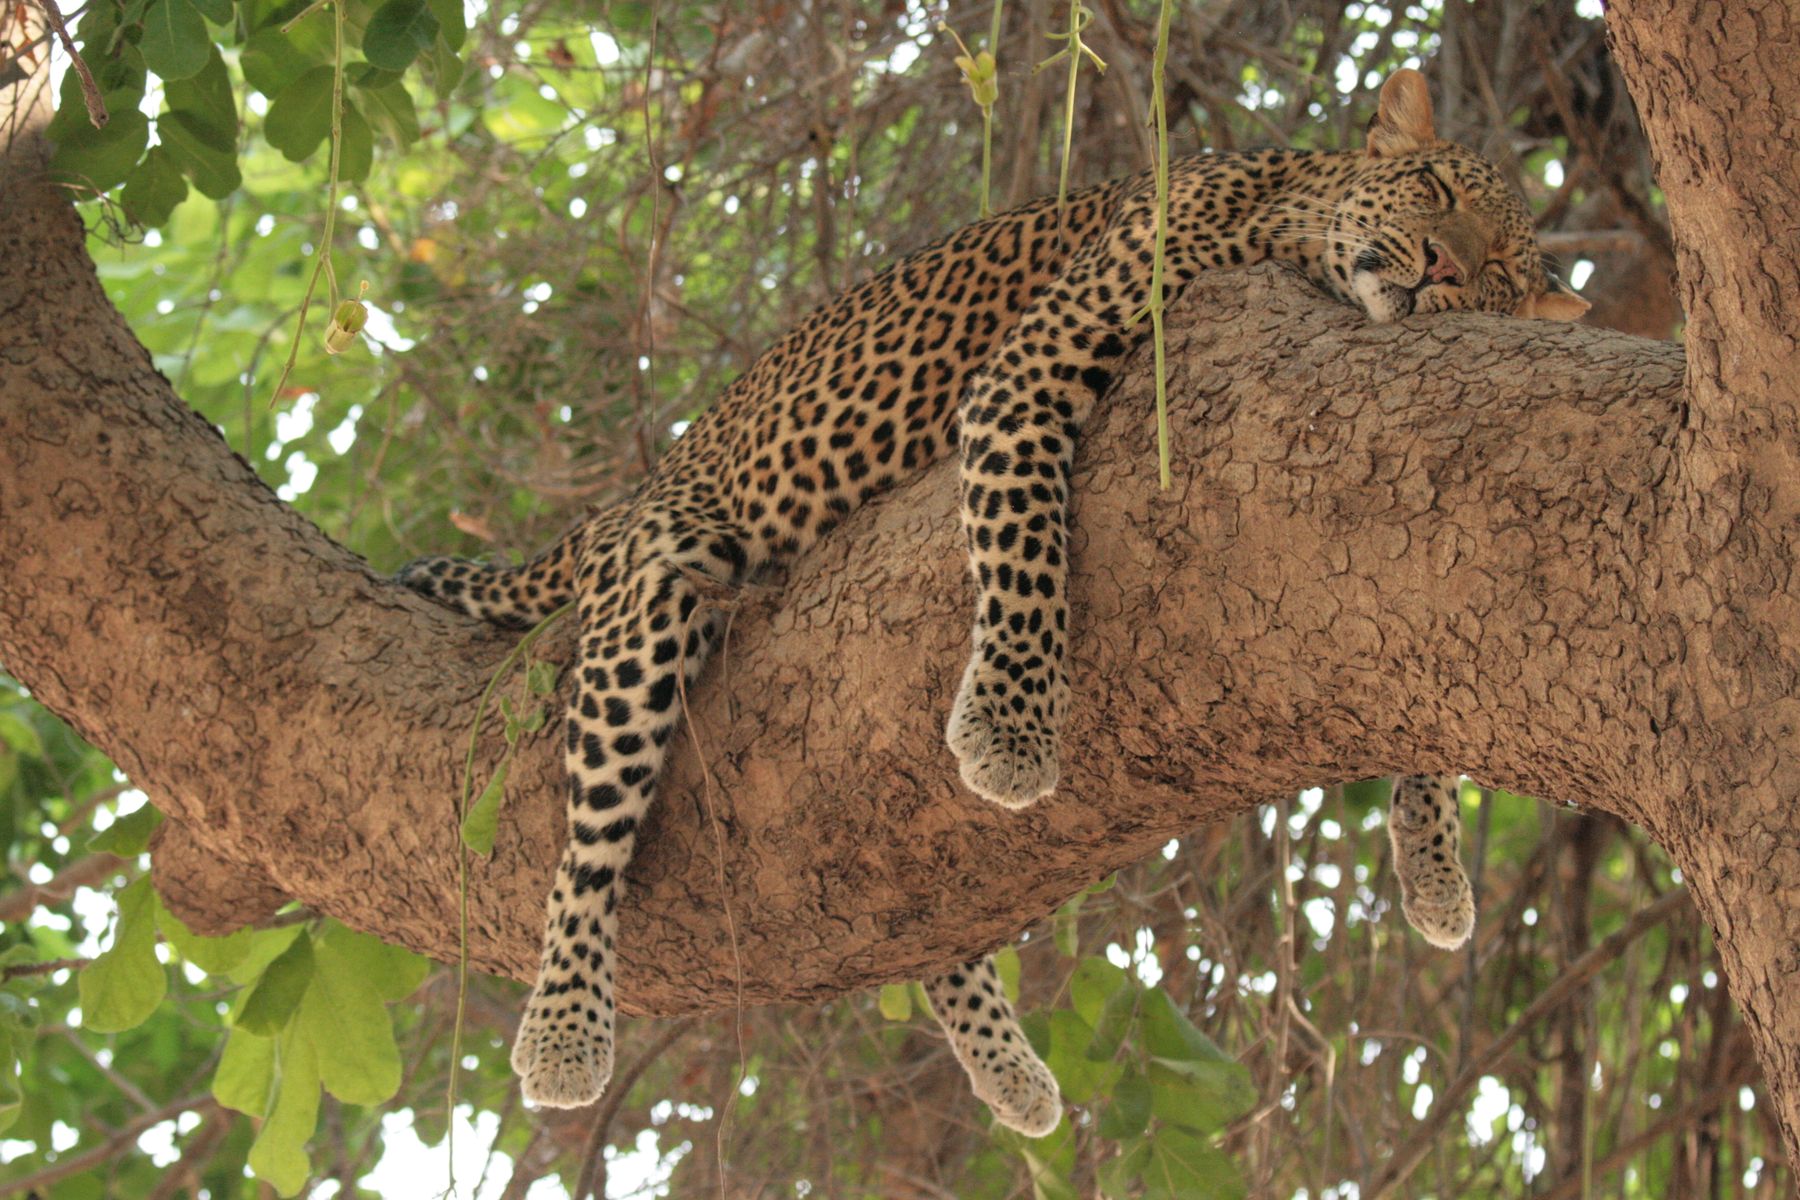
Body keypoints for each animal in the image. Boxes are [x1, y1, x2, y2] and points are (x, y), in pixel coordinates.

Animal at [397, 68, 1589, 1138]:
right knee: (587, 847)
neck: (1285, 216)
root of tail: (653, 476)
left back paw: (1010, 1073)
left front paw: (1433, 867)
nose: (1442, 265)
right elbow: (1028, 554)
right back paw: (563, 1028)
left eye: (1500, 269)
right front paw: (1013, 731)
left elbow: (1418, 678)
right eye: (1433, 189)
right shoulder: (1030, 373)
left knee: (926, 927)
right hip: (657, 584)